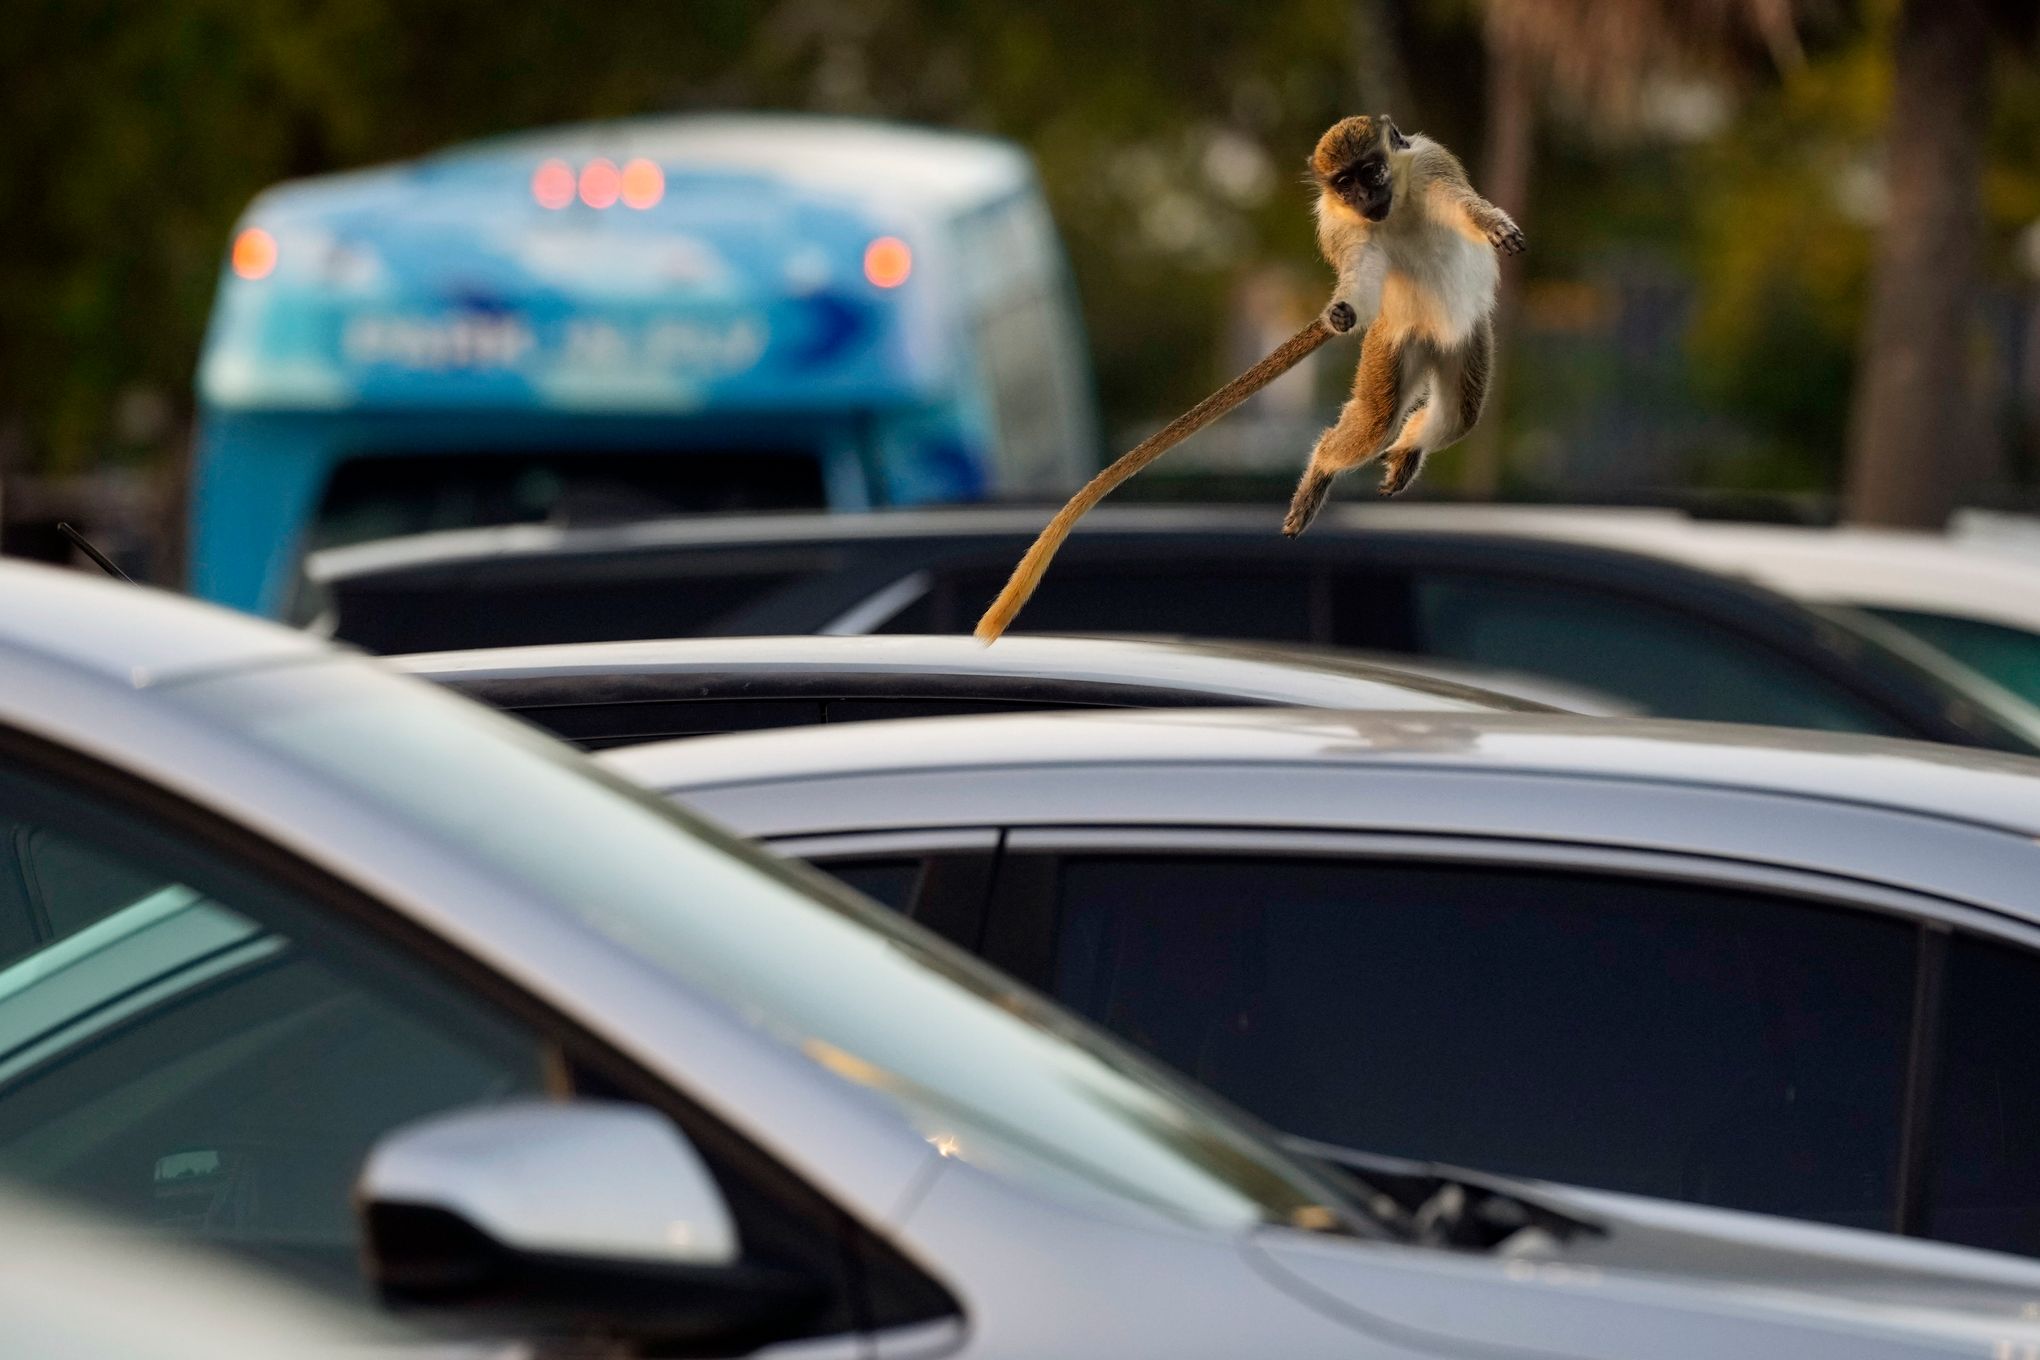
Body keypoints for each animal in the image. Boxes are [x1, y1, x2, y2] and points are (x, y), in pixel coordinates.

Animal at [975, 113, 1534, 644]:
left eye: (1371, 173)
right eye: (1344, 185)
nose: (1365, 198)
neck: (1393, 206)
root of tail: (1429, 334)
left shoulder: (1431, 167)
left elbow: (1461, 205)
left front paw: (1492, 223)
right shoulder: (1339, 225)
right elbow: (1361, 273)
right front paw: (1343, 311)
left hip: (1462, 339)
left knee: (1458, 415)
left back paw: (1408, 445)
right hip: (1395, 340)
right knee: (1381, 418)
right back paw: (1330, 463)